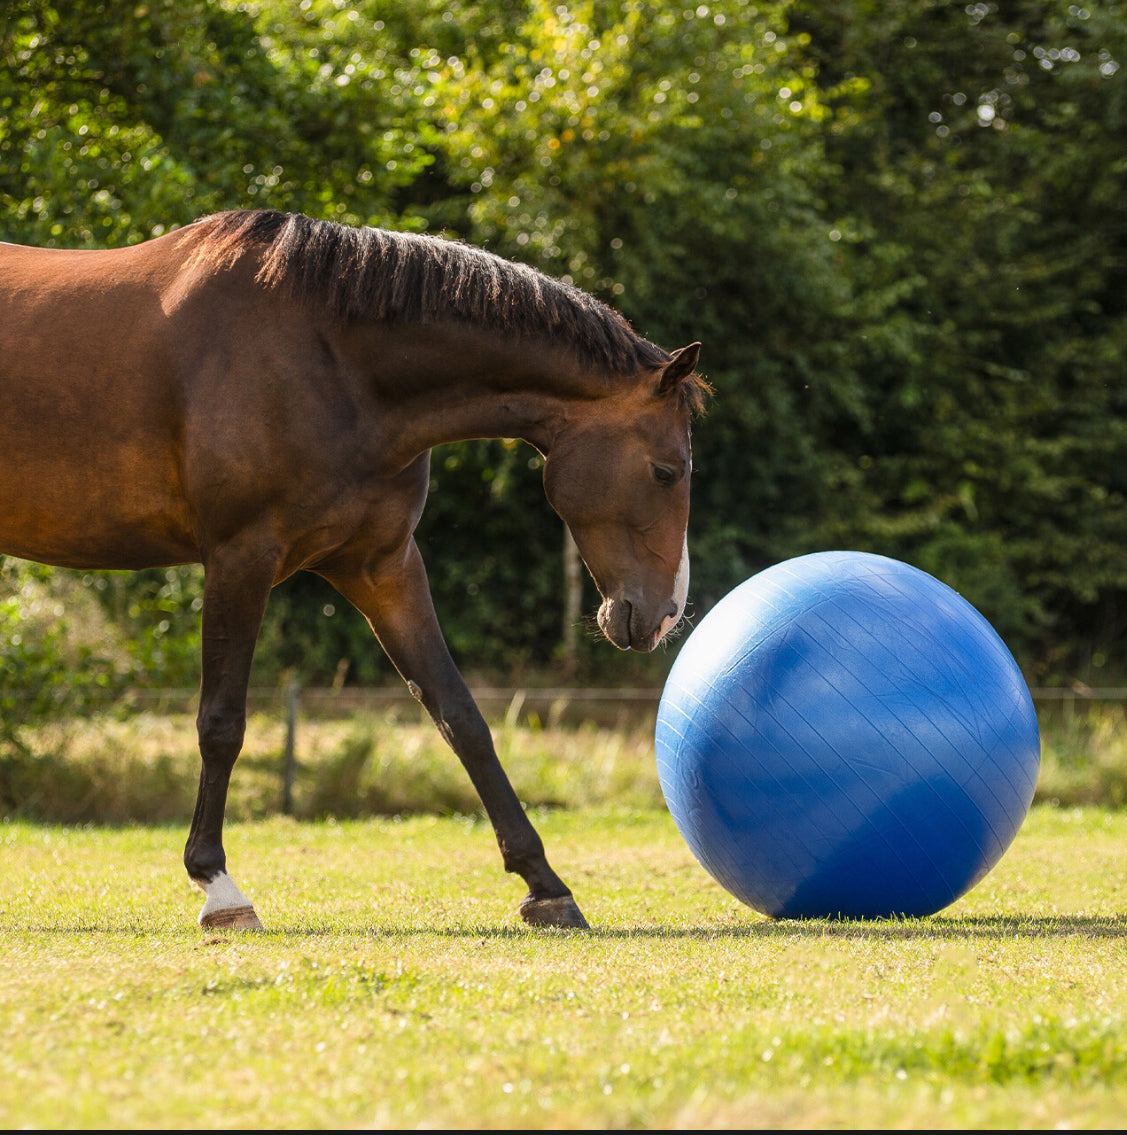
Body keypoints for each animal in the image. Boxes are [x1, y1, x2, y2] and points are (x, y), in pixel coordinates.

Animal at [0, 209, 707, 931]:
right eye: (666, 471)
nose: (665, 615)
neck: (333, 364)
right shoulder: (239, 557)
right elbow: (221, 723)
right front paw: (218, 886)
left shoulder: (381, 567)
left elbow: (461, 716)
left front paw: (545, 884)